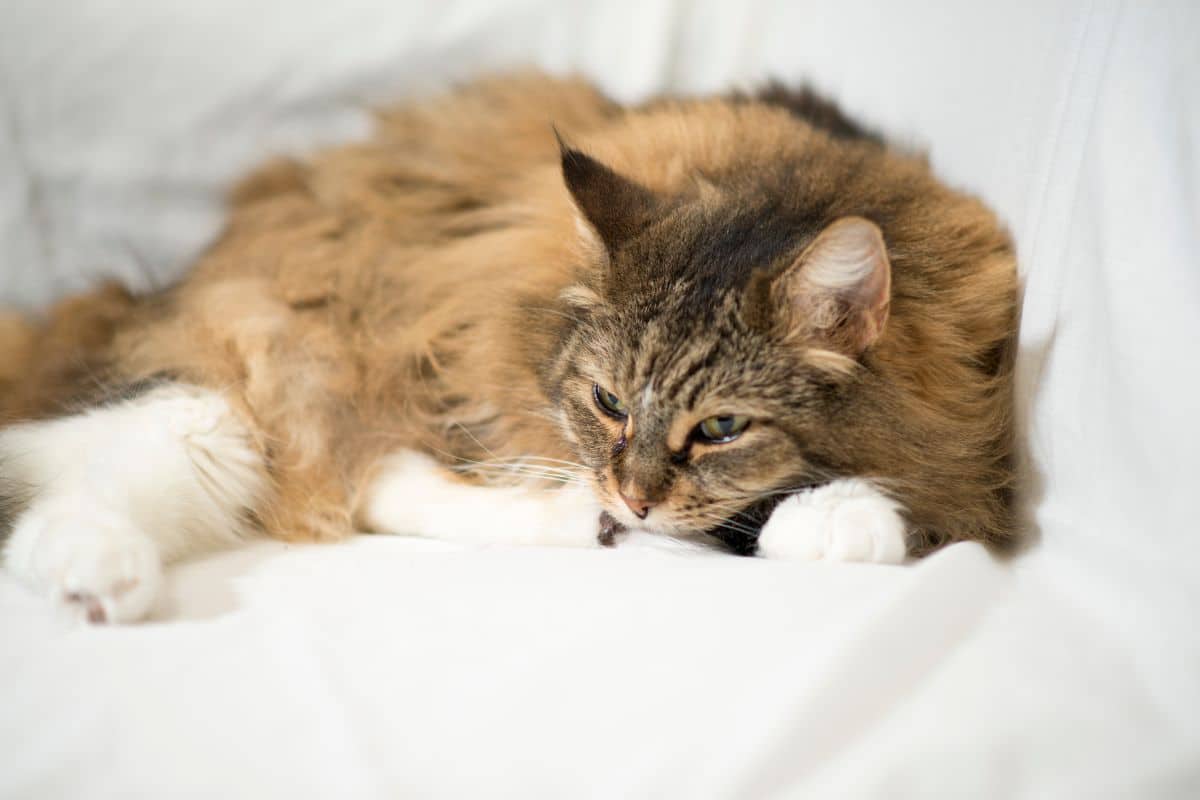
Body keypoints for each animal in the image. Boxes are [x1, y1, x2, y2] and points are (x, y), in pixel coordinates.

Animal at [0, 73, 1022, 623]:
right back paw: (90, 576)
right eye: (609, 403)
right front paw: (844, 519)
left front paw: (840, 517)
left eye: (722, 428)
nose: (632, 495)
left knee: (382, 485)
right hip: (260, 379)